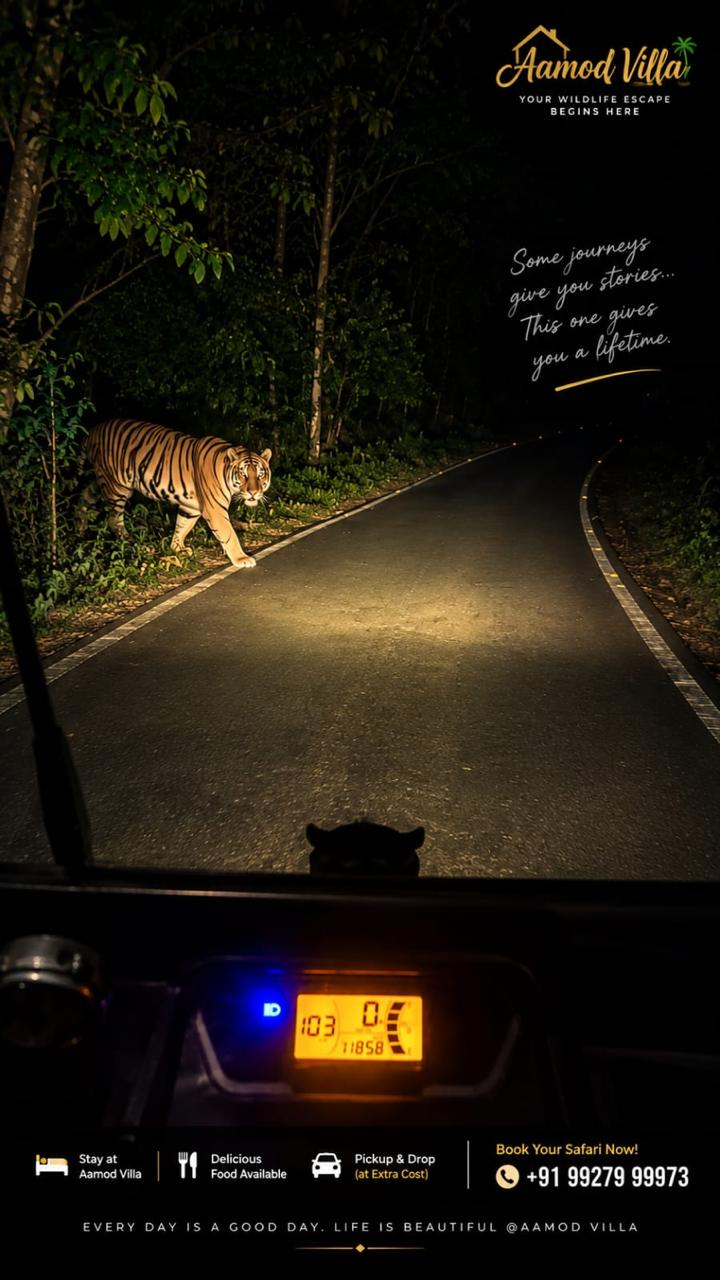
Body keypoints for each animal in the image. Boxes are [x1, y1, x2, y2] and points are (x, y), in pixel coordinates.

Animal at [80, 419, 272, 568]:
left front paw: (177, 548)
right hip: (117, 487)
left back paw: (80, 531)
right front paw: (242, 558)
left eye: (260, 475)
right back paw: (129, 541)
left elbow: (182, 526)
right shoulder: (215, 509)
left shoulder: (191, 507)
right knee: (113, 519)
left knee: (83, 501)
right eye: (243, 474)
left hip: (99, 482)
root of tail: (92, 430)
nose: (253, 493)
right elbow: (228, 533)